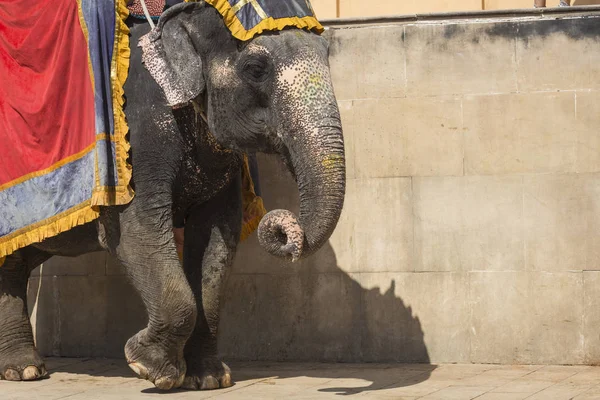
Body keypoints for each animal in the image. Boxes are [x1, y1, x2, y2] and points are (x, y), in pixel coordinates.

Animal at [0, 0, 344, 394]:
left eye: (327, 53)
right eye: (256, 69)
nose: (282, 226)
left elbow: (216, 241)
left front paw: (210, 379)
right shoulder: (138, 137)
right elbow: (137, 230)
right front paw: (149, 367)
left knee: (17, 261)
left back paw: (26, 370)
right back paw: (23, 370)